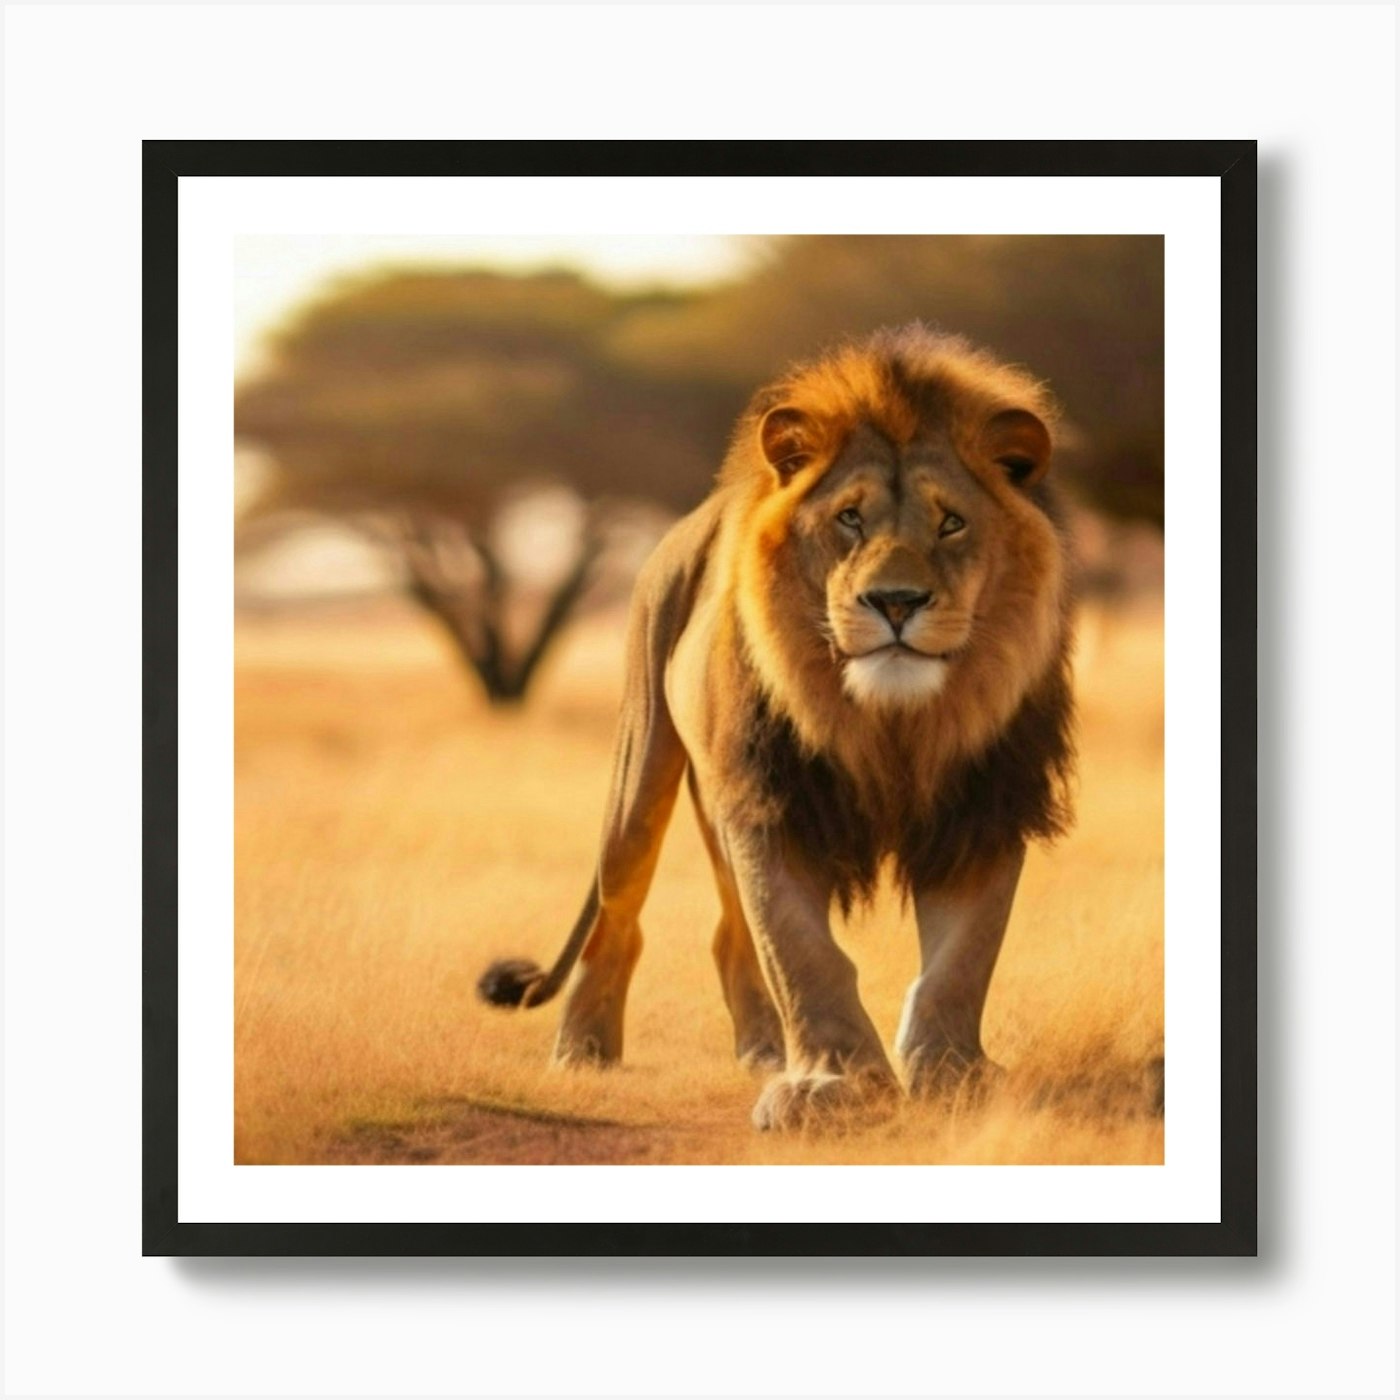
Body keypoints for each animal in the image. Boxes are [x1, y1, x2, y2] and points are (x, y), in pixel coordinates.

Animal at [478, 325, 1075, 1131]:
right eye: (849, 519)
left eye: (952, 522)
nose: (895, 601)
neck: (890, 723)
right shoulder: (772, 805)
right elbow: (801, 952)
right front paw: (834, 1082)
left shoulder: (985, 806)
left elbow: (962, 959)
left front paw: (954, 1072)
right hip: (645, 766)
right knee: (620, 917)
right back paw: (583, 1051)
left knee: (729, 934)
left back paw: (762, 1051)